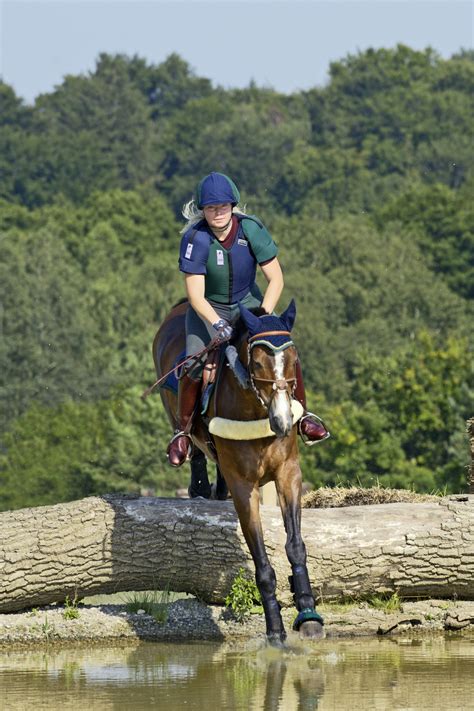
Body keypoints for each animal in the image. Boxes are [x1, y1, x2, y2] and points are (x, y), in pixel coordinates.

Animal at [154, 298, 324, 644]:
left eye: (294, 361)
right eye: (256, 364)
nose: (282, 421)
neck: (256, 410)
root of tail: (178, 309)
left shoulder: (288, 474)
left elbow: (296, 546)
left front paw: (308, 615)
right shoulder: (245, 486)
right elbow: (262, 562)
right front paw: (275, 631)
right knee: (192, 443)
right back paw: (195, 478)